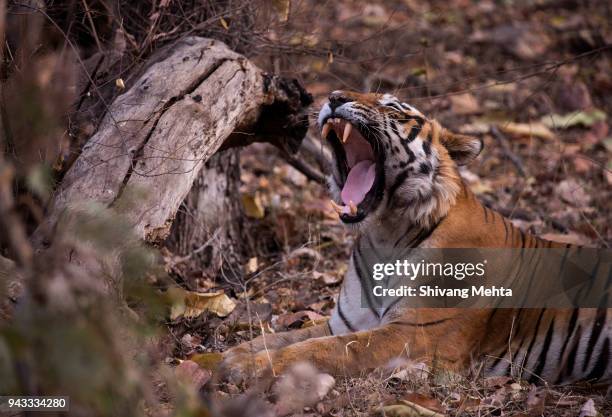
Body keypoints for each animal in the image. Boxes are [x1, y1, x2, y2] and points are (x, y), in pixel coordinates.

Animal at [220, 89, 612, 386]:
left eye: (392, 107)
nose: (333, 96)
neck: (382, 236)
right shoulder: (343, 322)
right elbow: (285, 337)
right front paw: (226, 356)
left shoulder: (414, 333)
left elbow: (324, 350)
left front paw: (248, 367)